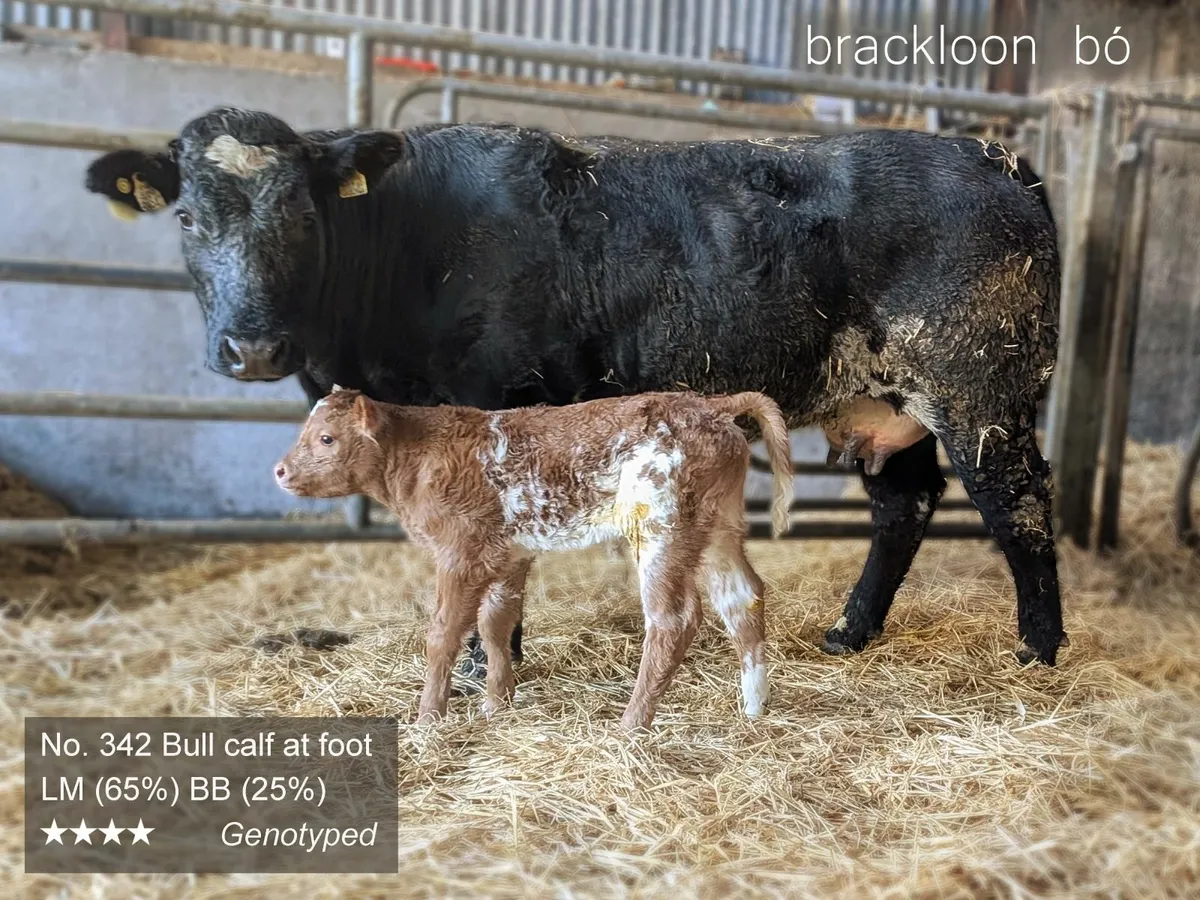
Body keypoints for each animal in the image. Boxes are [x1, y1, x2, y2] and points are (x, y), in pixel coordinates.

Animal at [84, 107, 1066, 675]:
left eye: (301, 212)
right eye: (186, 215)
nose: (251, 345)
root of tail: (994, 156)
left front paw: (484, 668)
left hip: (981, 392)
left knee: (1019, 509)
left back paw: (1040, 650)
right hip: (887, 402)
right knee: (906, 505)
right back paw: (850, 632)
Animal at [274, 387, 792, 729]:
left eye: (326, 438)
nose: (279, 470)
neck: (418, 457)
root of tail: (707, 404)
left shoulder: (459, 554)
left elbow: (444, 633)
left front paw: (428, 719)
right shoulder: (508, 555)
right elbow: (495, 624)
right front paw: (496, 704)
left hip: (661, 528)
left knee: (673, 619)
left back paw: (632, 723)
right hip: (716, 527)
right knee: (742, 598)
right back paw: (753, 709)